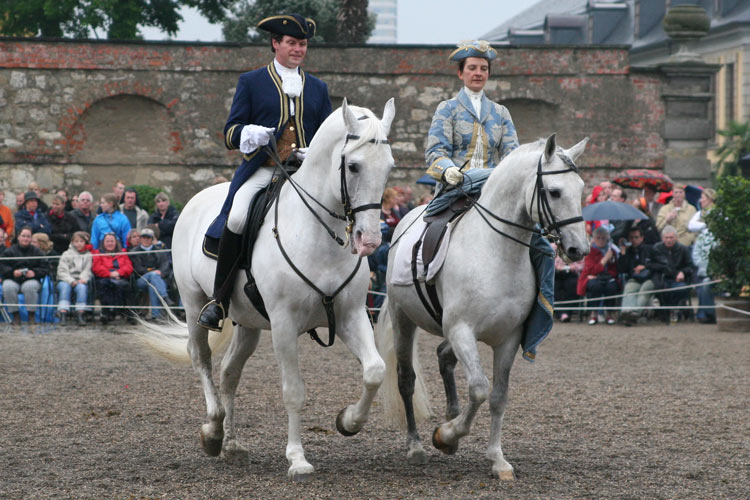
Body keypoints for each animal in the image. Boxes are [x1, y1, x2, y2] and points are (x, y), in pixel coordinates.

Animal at [139, 99, 395, 481]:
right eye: (353, 166)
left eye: (390, 166)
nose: (370, 240)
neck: (320, 235)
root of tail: (199, 198)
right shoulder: (285, 324)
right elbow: (293, 392)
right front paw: (298, 459)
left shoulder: (350, 315)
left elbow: (375, 371)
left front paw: (348, 421)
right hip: (194, 301)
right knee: (201, 357)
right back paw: (212, 431)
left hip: (248, 323)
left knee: (229, 373)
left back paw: (230, 444)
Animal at [375, 134, 589, 480]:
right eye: (555, 191)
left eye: (582, 188)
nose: (578, 249)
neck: (497, 253)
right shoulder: (462, 330)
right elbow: (478, 388)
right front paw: (446, 436)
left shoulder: (509, 339)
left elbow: (499, 397)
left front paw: (497, 459)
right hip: (403, 318)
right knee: (406, 380)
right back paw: (416, 445)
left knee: (443, 357)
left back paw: (450, 414)